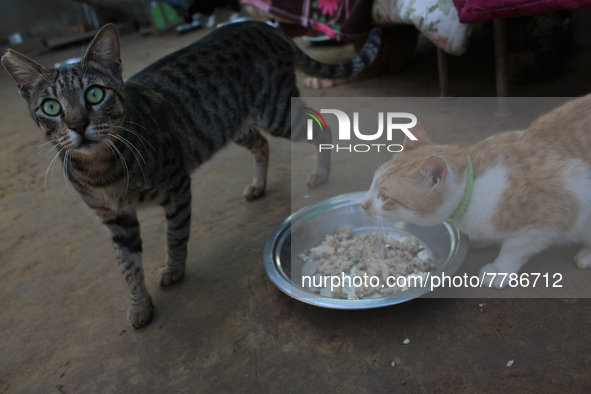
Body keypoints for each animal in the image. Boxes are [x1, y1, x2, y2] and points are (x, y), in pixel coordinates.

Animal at [2, 23, 382, 328]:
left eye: (94, 93)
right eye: (51, 106)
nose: (78, 125)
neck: (102, 168)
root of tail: (260, 24)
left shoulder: (176, 186)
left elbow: (175, 235)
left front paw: (174, 270)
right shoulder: (115, 218)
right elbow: (127, 266)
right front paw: (140, 305)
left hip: (276, 111)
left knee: (323, 124)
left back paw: (320, 172)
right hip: (233, 123)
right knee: (262, 144)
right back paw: (258, 185)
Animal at [360, 95, 591, 286]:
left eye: (385, 196)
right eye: (372, 183)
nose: (362, 204)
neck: (472, 192)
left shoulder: (552, 218)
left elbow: (514, 249)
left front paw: (498, 270)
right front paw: (483, 239)